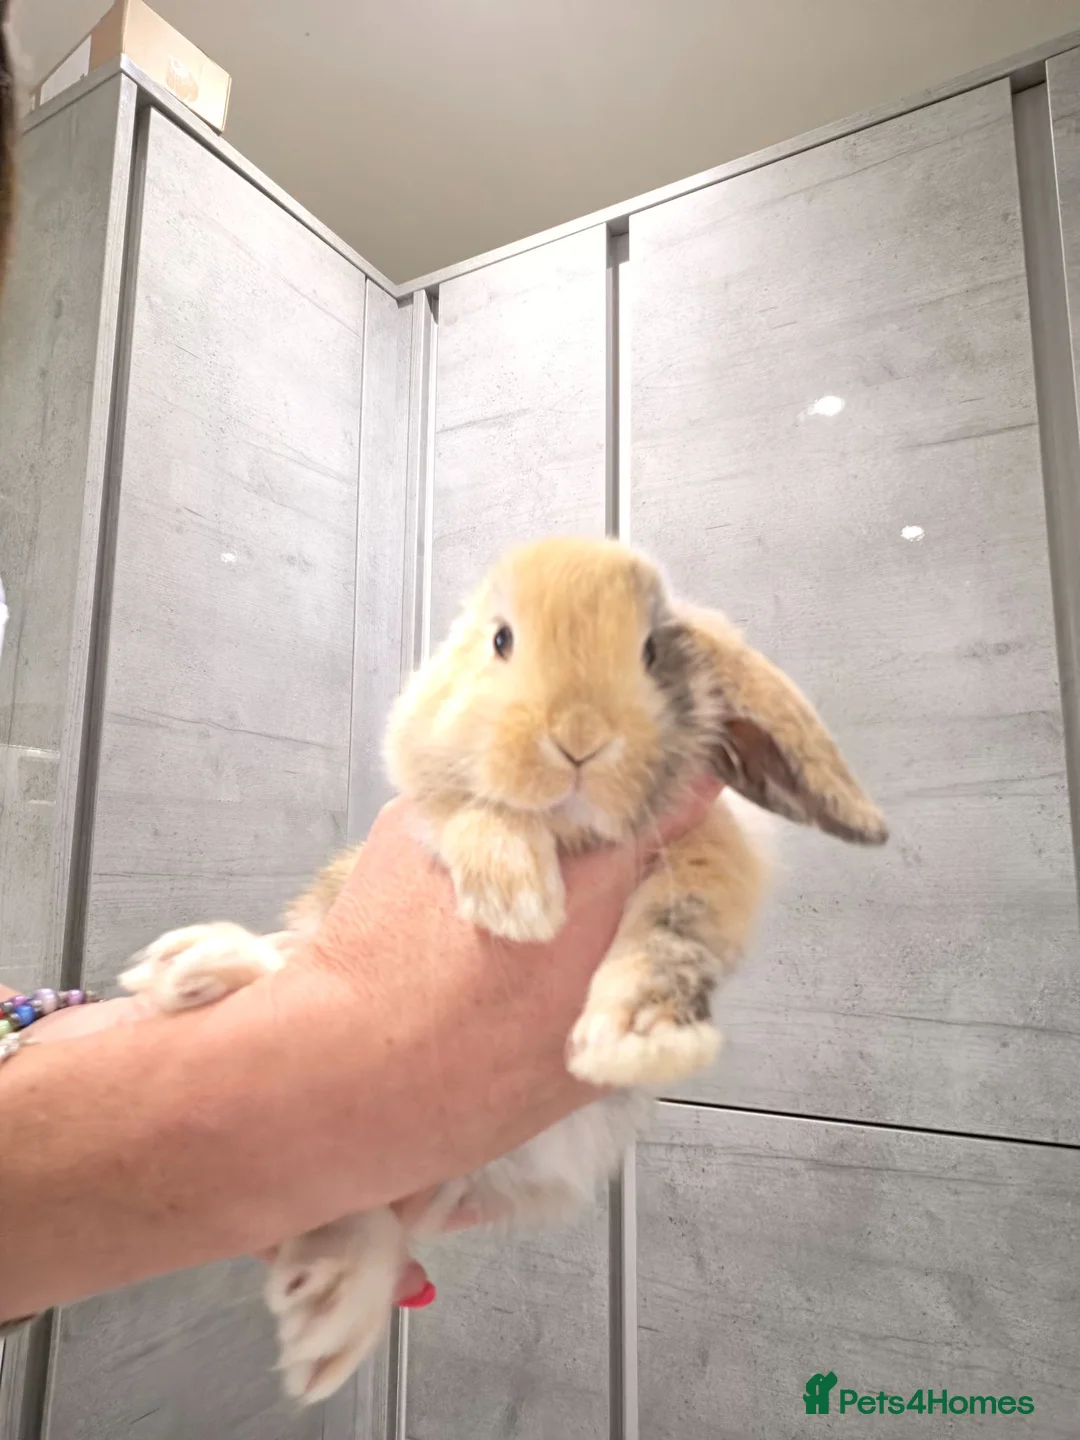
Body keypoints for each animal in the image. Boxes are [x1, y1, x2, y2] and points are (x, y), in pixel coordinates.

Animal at [119, 534, 887, 1402]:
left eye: (650, 652)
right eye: (501, 639)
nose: (580, 737)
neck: (569, 831)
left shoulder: (710, 858)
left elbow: (672, 935)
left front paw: (635, 1036)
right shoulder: (427, 782)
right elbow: (471, 810)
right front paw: (517, 896)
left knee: (379, 1208)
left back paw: (328, 1304)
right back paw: (197, 967)